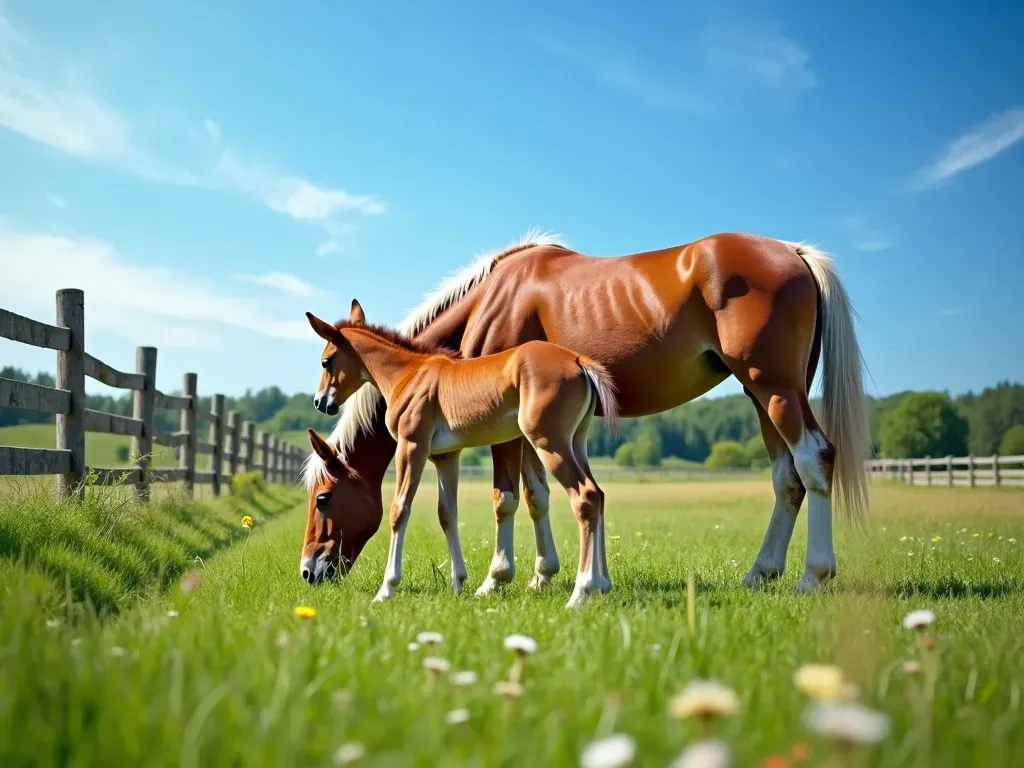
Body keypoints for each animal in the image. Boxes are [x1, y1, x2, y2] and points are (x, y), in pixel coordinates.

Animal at [299, 231, 868, 598]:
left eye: (323, 498)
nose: (309, 571)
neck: (492, 300)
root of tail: (792, 252)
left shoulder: (509, 431)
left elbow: (507, 498)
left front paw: (496, 579)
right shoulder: (543, 429)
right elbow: (538, 495)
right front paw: (546, 575)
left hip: (774, 390)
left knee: (815, 460)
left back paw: (812, 576)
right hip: (762, 395)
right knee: (786, 477)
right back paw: (761, 572)